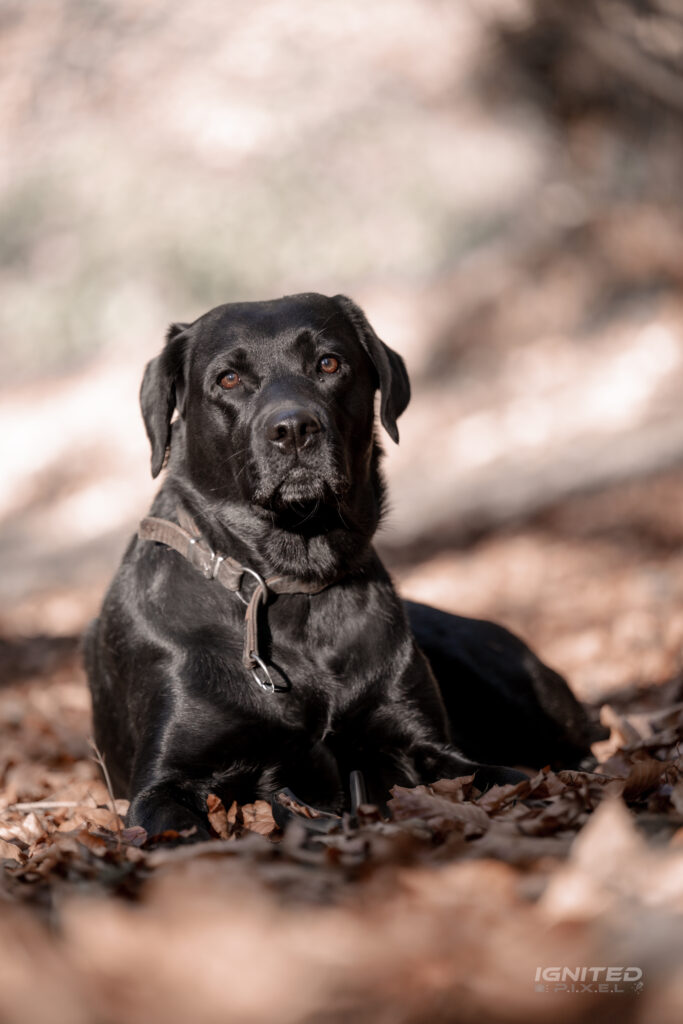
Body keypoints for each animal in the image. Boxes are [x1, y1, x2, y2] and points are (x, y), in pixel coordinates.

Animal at [83, 292, 598, 835]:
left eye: (329, 363)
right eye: (228, 379)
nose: (293, 428)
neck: (290, 582)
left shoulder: (421, 742)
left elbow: (502, 776)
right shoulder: (165, 782)